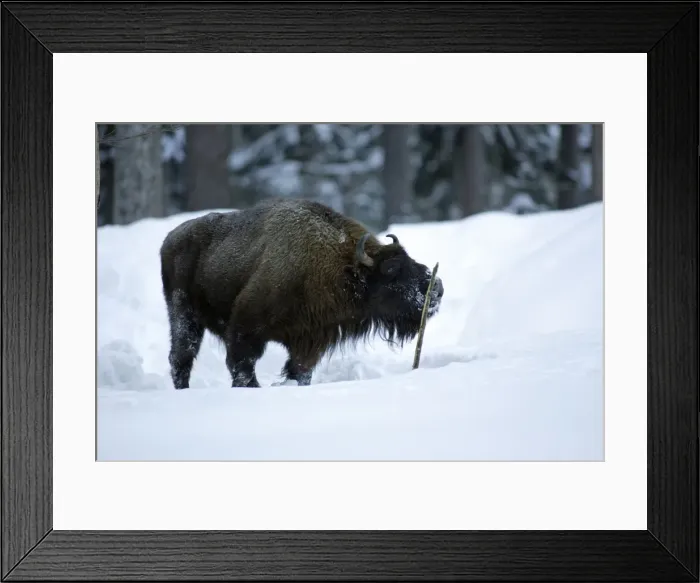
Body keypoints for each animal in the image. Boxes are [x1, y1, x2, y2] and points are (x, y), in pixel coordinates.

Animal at [159, 198, 444, 389]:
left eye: (408, 258)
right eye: (392, 269)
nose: (437, 288)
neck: (343, 266)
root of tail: (170, 239)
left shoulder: (310, 341)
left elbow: (299, 371)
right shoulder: (245, 327)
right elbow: (241, 364)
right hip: (183, 315)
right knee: (181, 356)